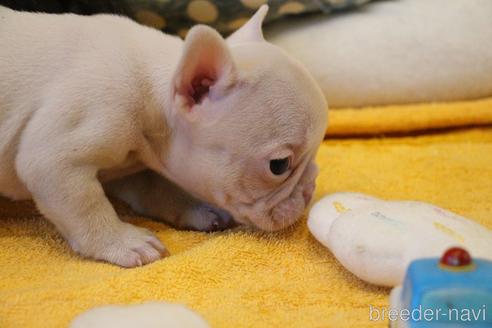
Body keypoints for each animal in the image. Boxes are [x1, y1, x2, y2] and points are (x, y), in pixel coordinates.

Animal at [0, 5, 330, 266]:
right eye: (279, 165)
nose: (309, 188)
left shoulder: (131, 162)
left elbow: (157, 188)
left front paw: (197, 208)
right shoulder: (57, 159)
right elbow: (86, 206)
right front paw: (124, 242)